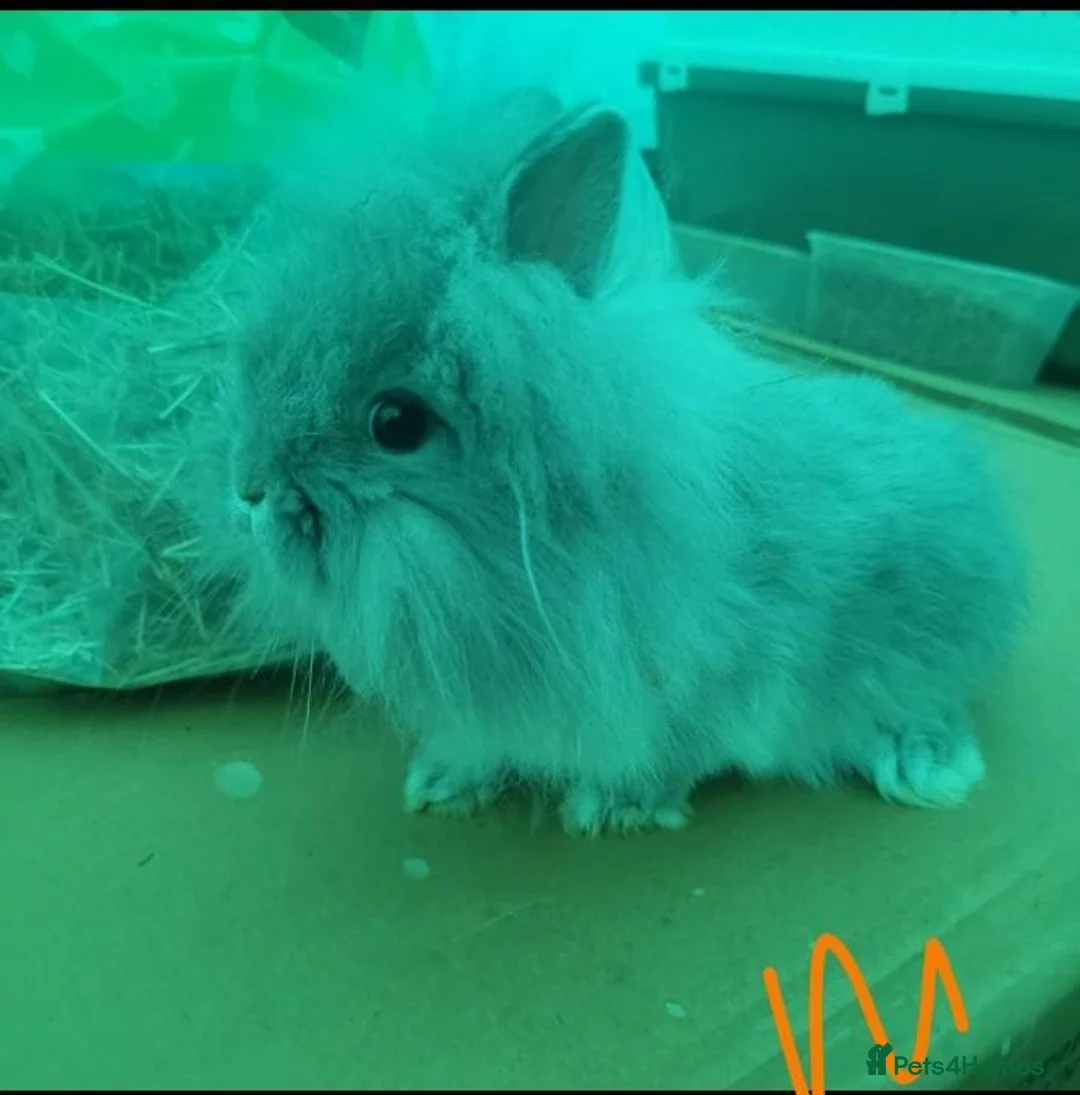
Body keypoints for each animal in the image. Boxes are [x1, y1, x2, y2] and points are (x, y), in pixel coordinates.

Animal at [186, 89, 1028, 837]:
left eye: (395, 422)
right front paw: (441, 781)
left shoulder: (704, 682)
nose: (246, 490)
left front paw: (617, 809)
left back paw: (932, 772)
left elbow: (671, 752)